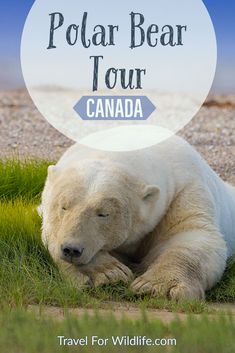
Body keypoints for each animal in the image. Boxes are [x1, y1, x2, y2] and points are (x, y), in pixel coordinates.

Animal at [40, 135, 235, 300]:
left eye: (103, 213)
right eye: (63, 206)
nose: (71, 249)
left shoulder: (185, 189)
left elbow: (192, 236)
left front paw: (158, 287)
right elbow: (51, 232)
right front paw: (106, 273)